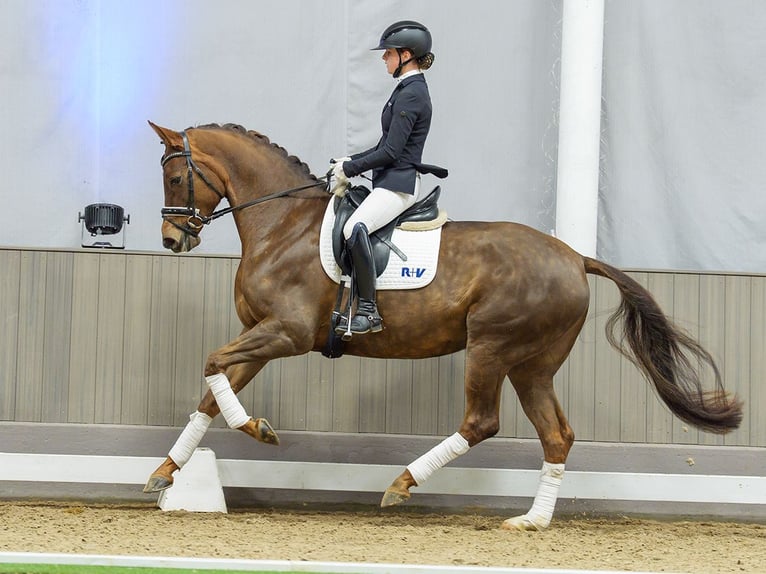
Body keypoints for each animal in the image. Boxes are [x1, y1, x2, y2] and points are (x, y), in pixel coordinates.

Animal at [144, 121, 742, 530]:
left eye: (174, 177)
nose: (173, 241)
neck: (282, 225)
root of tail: (575, 257)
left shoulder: (286, 333)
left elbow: (212, 364)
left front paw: (258, 430)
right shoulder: (263, 337)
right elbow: (211, 393)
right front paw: (166, 472)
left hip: (492, 348)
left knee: (482, 422)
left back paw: (402, 484)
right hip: (533, 364)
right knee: (557, 434)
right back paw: (532, 520)